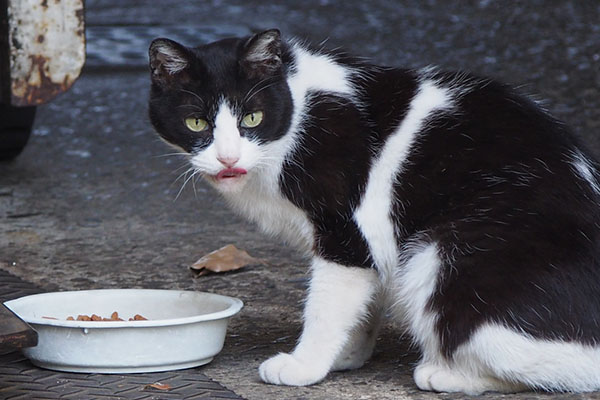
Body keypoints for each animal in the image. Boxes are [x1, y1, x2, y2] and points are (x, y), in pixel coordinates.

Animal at [148, 28, 600, 394]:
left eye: (252, 118)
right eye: (196, 123)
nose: (227, 158)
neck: (299, 117)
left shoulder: (347, 233)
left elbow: (327, 306)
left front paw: (305, 365)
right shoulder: (374, 241)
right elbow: (366, 294)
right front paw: (347, 355)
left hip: (441, 253)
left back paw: (448, 374)